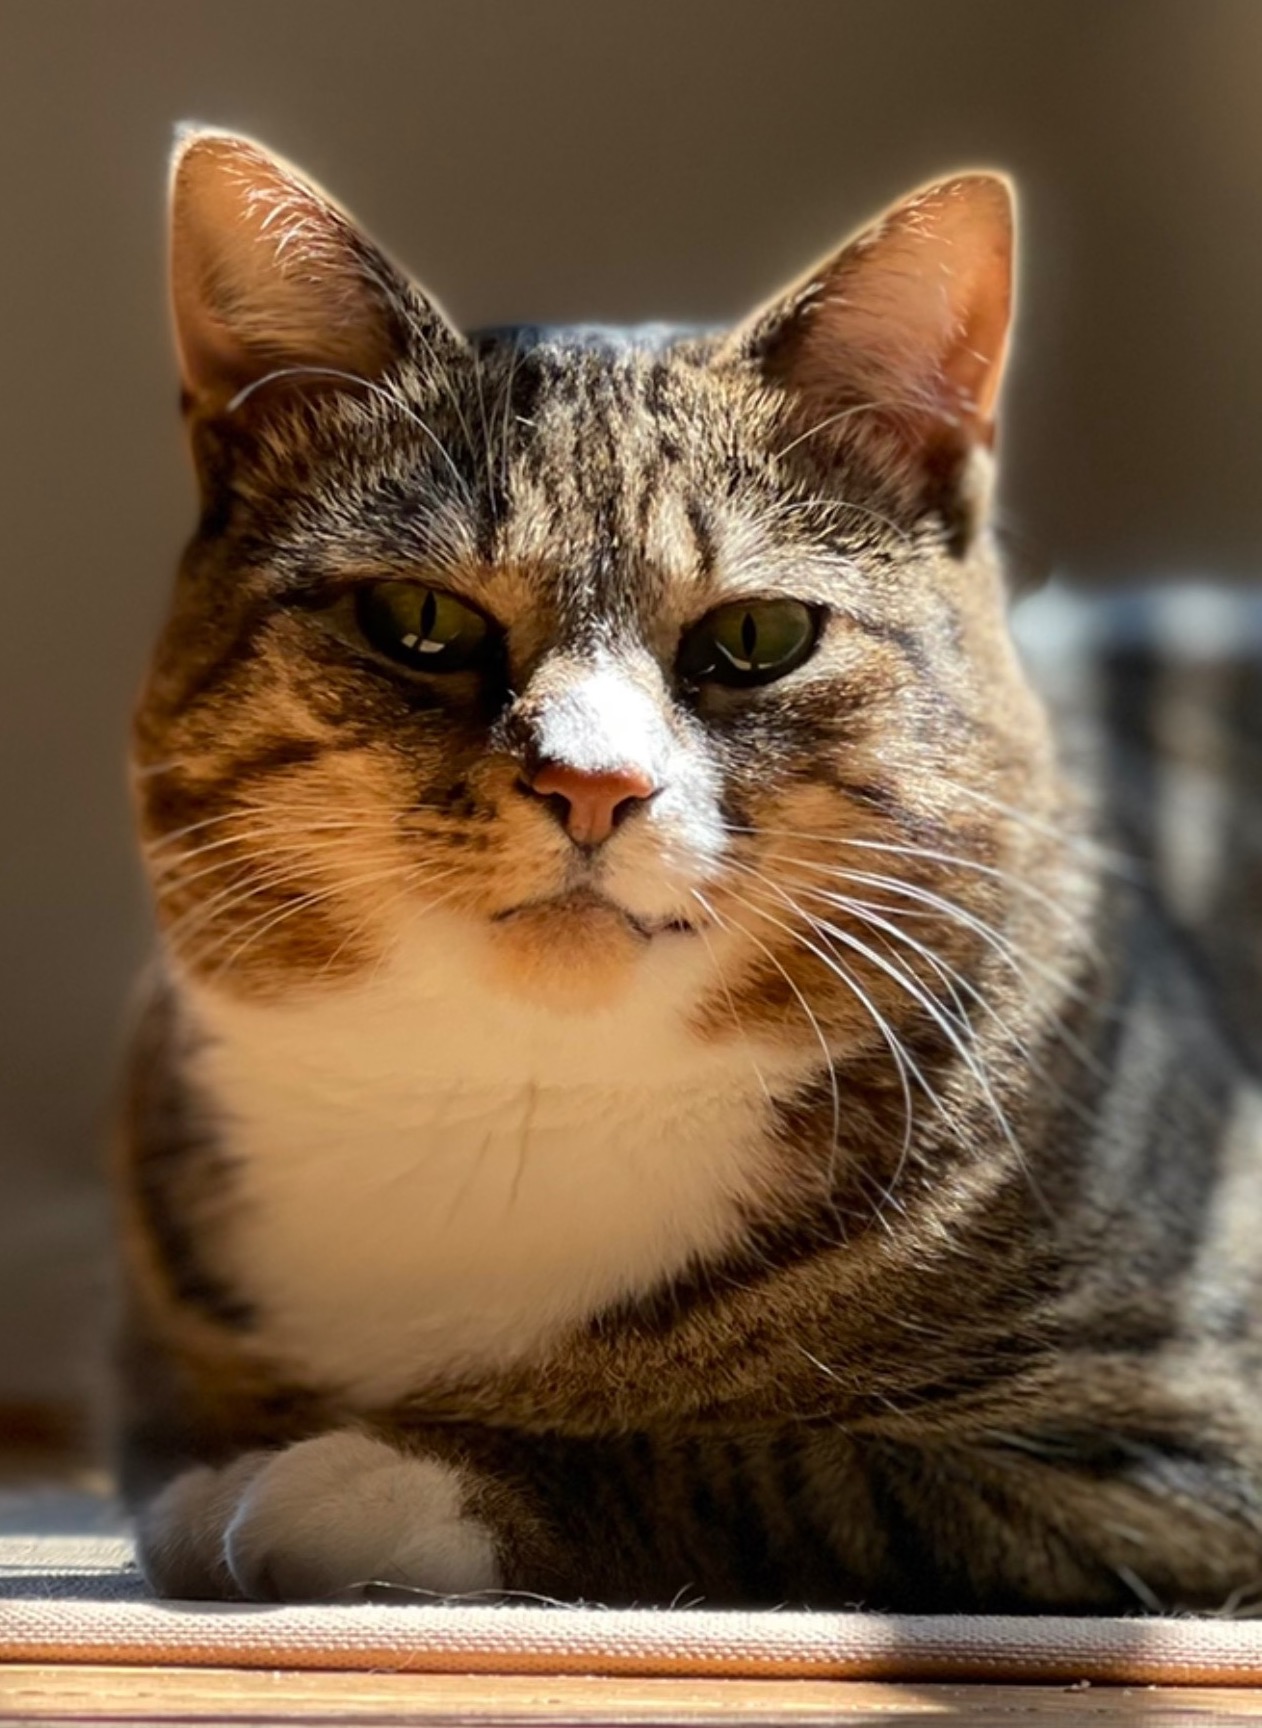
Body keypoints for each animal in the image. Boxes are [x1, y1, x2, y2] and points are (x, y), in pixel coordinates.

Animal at [117, 127, 1258, 1610]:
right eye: (420, 621)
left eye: (759, 637)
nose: (592, 783)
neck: (521, 1103)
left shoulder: (1175, 1448)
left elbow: (782, 1464)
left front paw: (365, 1478)